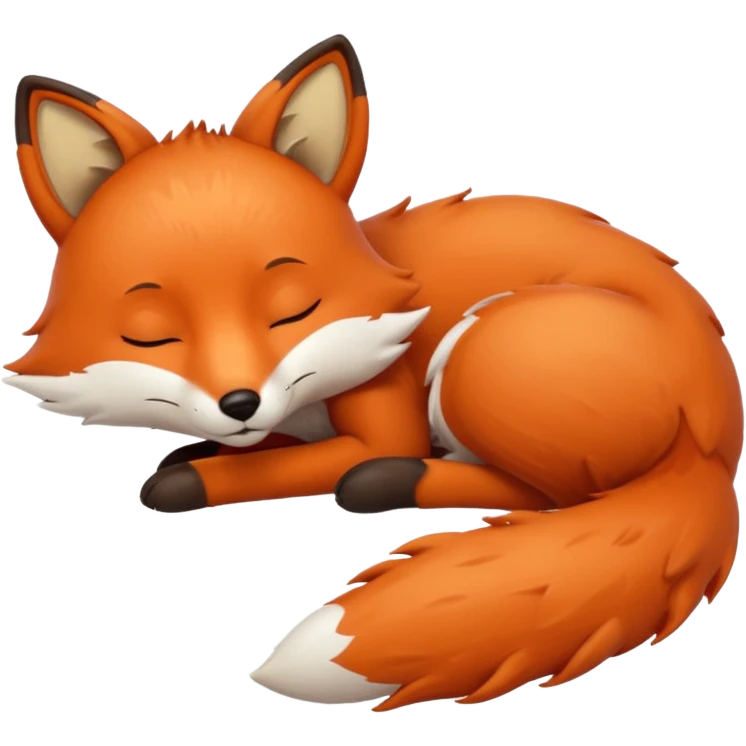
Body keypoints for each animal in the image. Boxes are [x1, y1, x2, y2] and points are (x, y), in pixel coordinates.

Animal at [6, 35, 743, 710]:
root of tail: (718, 432)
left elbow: (286, 464)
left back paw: (396, 481)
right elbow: (259, 446)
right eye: (153, 331)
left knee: (542, 497)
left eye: (290, 310)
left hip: (484, 353)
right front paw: (201, 450)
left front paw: (196, 478)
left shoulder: (381, 410)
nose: (239, 402)